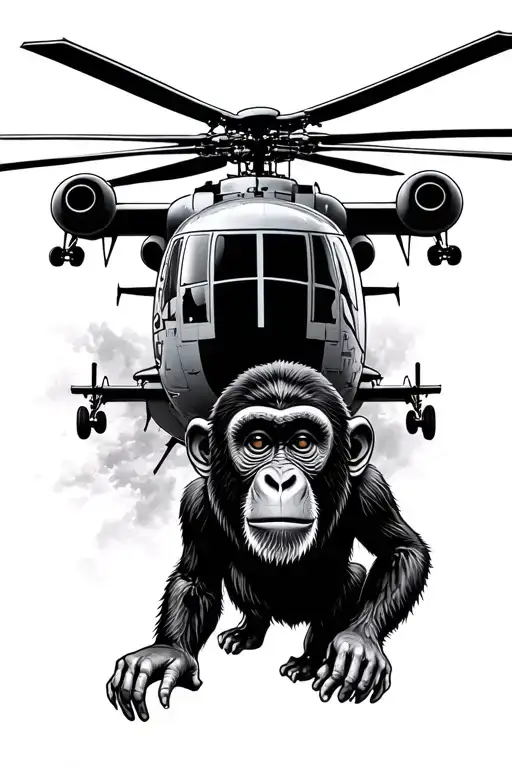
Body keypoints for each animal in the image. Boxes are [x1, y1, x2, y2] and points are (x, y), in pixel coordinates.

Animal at [106, 361, 430, 721]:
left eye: (302, 443)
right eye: (258, 442)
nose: (279, 479)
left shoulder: (371, 488)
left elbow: (400, 550)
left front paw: (359, 643)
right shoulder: (196, 503)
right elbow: (196, 578)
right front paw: (167, 653)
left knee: (354, 577)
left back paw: (308, 660)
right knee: (238, 580)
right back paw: (248, 632)